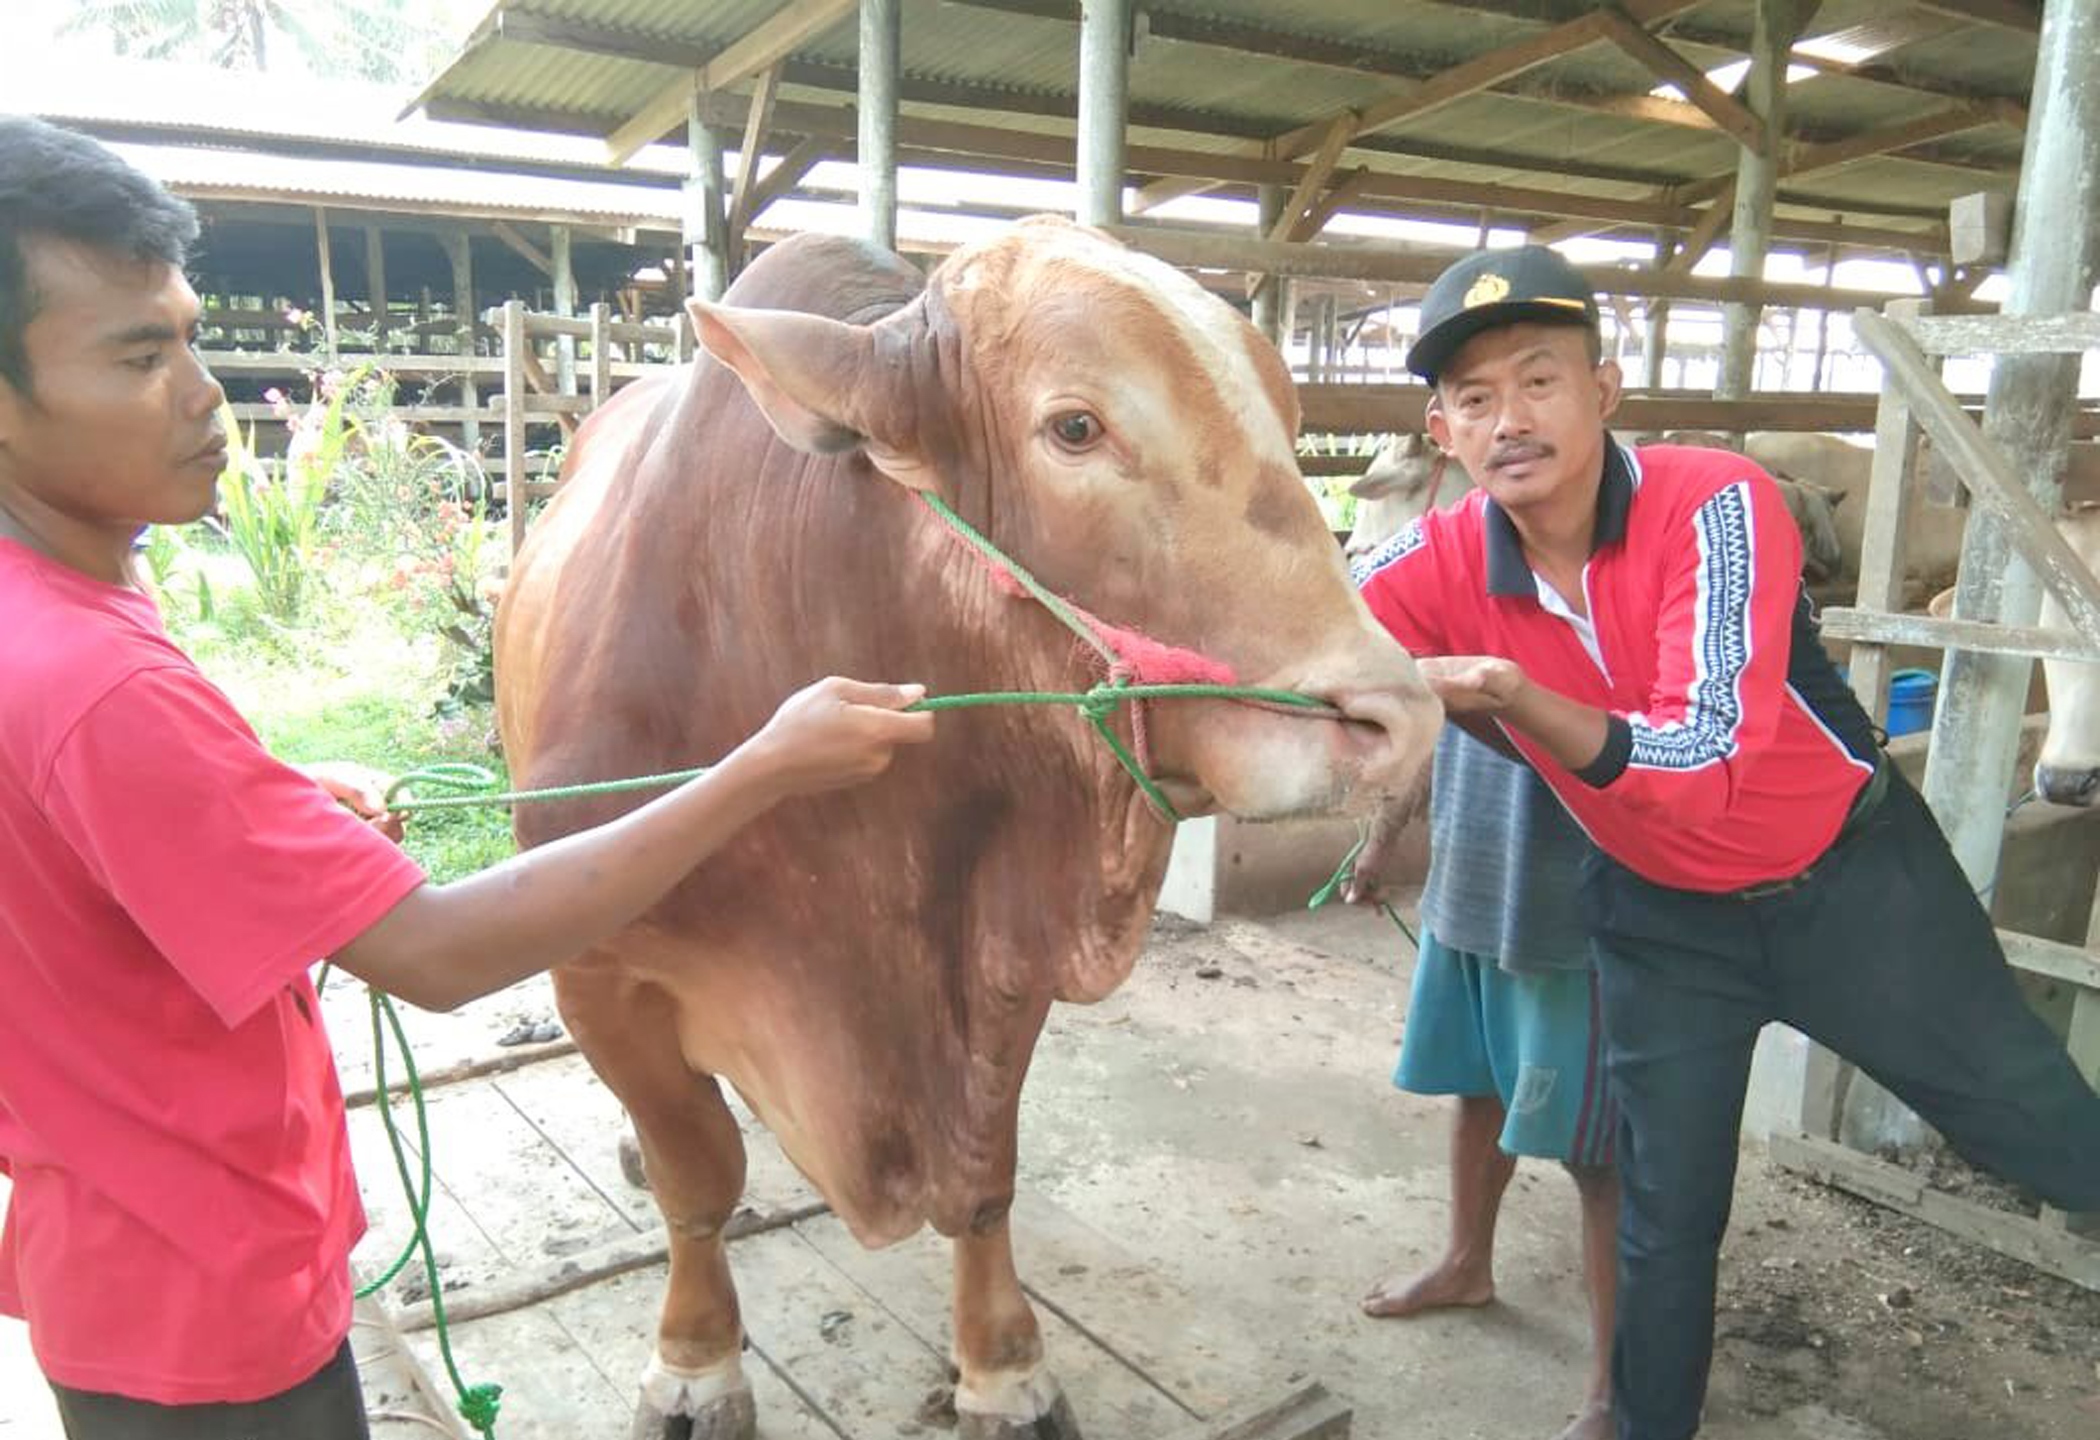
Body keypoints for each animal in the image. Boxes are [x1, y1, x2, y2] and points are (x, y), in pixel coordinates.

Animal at [493, 217, 1444, 1440]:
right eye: (1075, 426)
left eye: (1287, 420)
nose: (1394, 719)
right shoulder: (600, 972)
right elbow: (699, 1176)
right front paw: (697, 1363)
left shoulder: (1000, 950)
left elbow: (985, 1178)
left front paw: (1003, 1369)